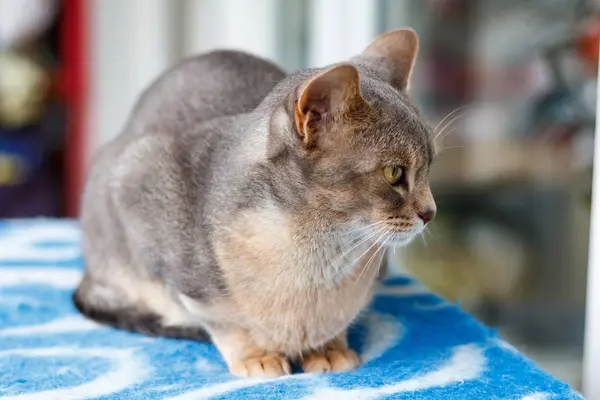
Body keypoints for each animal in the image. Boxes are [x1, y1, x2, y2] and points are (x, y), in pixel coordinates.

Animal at [75, 29, 436, 376]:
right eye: (394, 173)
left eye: (429, 165)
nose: (430, 212)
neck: (314, 256)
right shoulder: (142, 184)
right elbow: (225, 324)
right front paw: (257, 356)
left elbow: (336, 322)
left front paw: (327, 349)